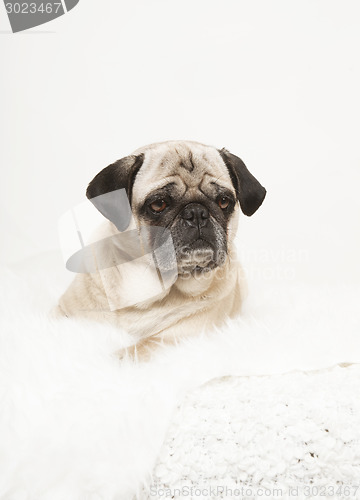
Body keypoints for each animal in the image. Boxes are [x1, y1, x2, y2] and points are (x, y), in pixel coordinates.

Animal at [56, 141, 264, 358]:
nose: (196, 212)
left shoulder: (173, 338)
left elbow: (129, 353)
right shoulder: (65, 312)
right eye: (158, 204)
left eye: (223, 201)